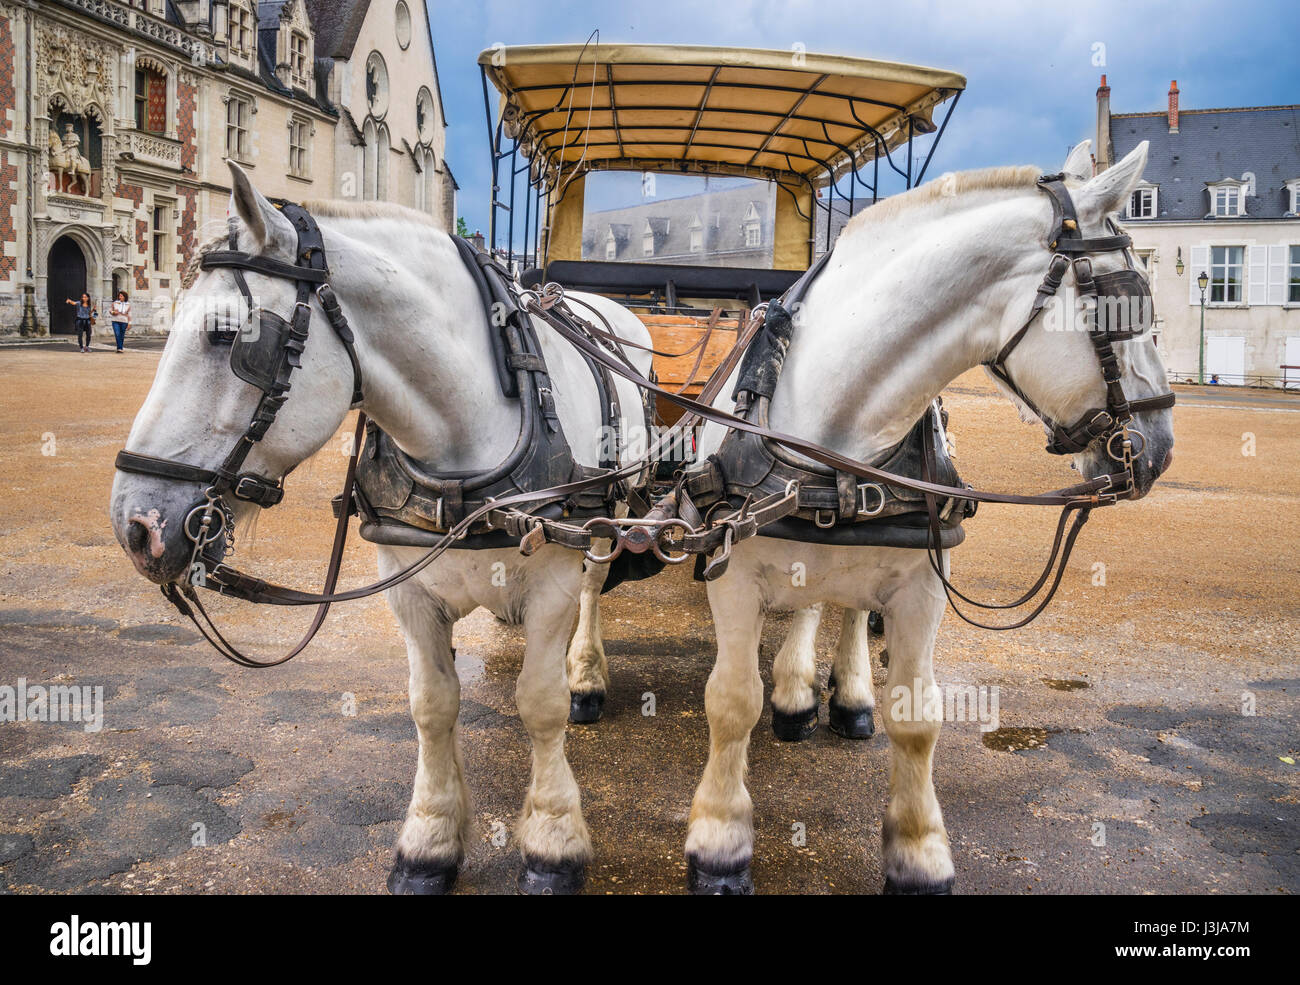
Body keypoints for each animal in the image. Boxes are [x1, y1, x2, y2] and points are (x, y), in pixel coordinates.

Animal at [110, 161, 657, 895]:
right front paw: (429, 840)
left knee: (596, 586)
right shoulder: (408, 588)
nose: (135, 525)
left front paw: (552, 840)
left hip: (605, 513)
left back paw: (588, 676)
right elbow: (431, 705)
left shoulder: (552, 583)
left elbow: (540, 705)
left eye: (226, 334)